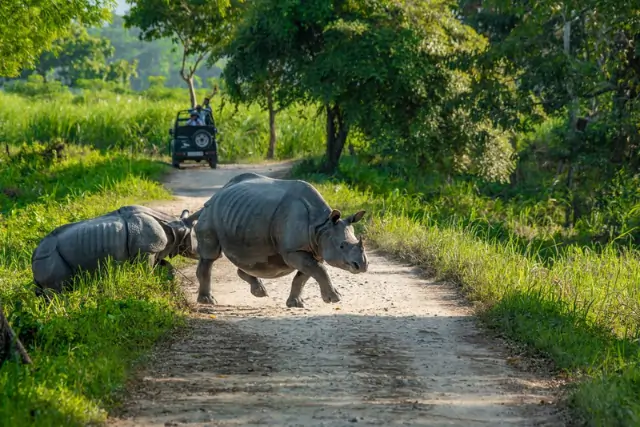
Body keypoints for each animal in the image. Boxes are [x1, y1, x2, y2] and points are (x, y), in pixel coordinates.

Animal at [32, 205, 201, 295]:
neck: (176, 228)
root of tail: (34, 255)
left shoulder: (153, 251)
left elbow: (167, 268)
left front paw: (170, 286)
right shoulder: (147, 251)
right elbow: (147, 271)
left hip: (47, 257)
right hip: (49, 256)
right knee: (57, 290)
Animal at [194, 172, 368, 307]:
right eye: (342, 246)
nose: (362, 265)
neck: (321, 226)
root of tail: (220, 191)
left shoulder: (315, 249)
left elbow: (305, 275)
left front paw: (296, 304)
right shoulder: (293, 250)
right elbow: (318, 270)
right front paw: (334, 299)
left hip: (242, 213)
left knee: (248, 258)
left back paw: (259, 291)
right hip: (211, 211)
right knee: (210, 256)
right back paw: (208, 301)